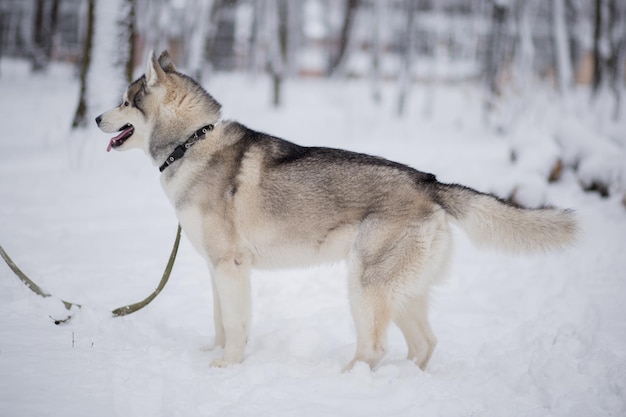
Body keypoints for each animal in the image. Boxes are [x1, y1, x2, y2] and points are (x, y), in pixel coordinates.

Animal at [96, 50, 576, 368]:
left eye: (125, 100)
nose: (97, 119)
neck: (191, 142)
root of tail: (429, 182)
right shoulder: (218, 269)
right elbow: (221, 322)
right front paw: (215, 355)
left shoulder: (230, 267)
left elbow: (235, 325)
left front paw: (227, 366)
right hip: (401, 292)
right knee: (424, 343)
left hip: (365, 285)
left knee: (375, 348)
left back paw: (348, 381)